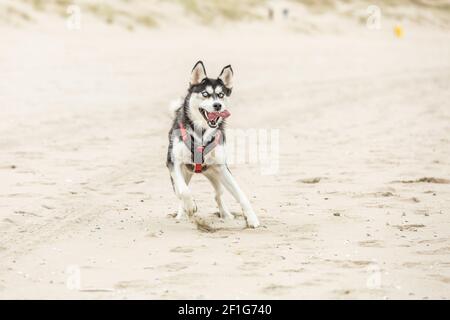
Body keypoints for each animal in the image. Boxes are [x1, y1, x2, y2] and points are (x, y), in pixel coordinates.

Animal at [167, 61, 260, 229]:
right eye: (205, 94)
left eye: (221, 95)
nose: (217, 105)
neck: (201, 132)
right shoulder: (173, 162)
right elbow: (184, 191)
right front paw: (191, 206)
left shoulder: (222, 167)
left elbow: (241, 194)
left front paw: (251, 218)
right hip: (183, 173)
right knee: (180, 191)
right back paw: (183, 214)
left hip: (215, 174)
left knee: (218, 195)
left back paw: (226, 215)